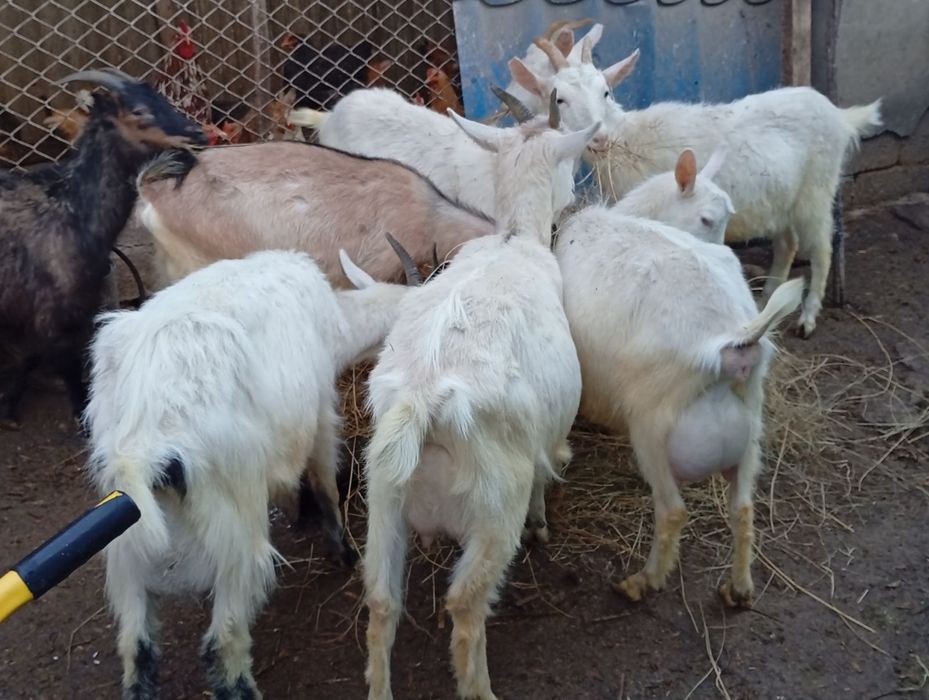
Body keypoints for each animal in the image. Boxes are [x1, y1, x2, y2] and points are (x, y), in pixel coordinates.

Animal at [0, 68, 205, 429]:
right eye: (137, 111)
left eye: (163, 98)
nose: (197, 132)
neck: (70, 209)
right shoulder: (54, 313)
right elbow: (67, 370)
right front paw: (81, 420)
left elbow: (33, 357)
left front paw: (9, 407)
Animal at [84, 244, 417, 700]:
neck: (335, 318)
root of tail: (147, 446)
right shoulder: (319, 412)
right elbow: (324, 481)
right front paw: (343, 550)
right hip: (235, 530)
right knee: (223, 643)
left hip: (126, 543)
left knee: (137, 647)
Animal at [362, 95, 598, 700]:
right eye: (569, 164)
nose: (575, 199)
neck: (513, 238)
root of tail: (421, 401)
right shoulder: (544, 443)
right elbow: (543, 480)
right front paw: (542, 525)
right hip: (494, 508)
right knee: (466, 604)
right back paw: (482, 687)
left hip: (384, 501)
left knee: (381, 601)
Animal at [512, 34, 881, 337]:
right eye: (559, 99)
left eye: (606, 91)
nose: (600, 138)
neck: (629, 139)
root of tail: (840, 116)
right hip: (781, 199)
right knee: (788, 243)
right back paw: (767, 299)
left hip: (816, 192)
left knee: (821, 248)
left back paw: (807, 317)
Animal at [553, 149, 803, 608]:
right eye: (707, 219)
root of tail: (735, 341)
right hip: (750, 426)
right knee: (743, 507)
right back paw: (738, 588)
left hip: (652, 422)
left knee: (672, 510)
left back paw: (642, 581)